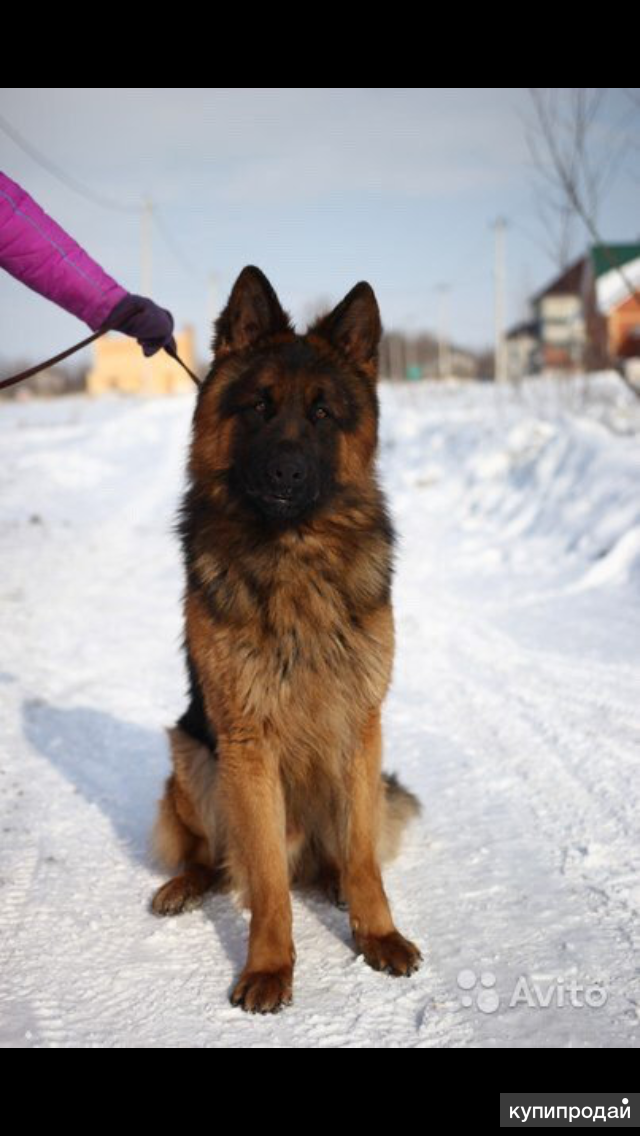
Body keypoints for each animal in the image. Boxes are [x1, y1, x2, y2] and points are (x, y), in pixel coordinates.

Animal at [150, 265, 420, 1013]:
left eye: (323, 414)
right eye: (259, 408)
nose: (285, 474)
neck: (293, 553)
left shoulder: (360, 728)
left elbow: (363, 858)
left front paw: (376, 933)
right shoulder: (246, 744)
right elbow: (267, 881)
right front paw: (269, 966)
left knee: (334, 857)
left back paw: (331, 883)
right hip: (193, 759)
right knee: (212, 857)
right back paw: (185, 884)